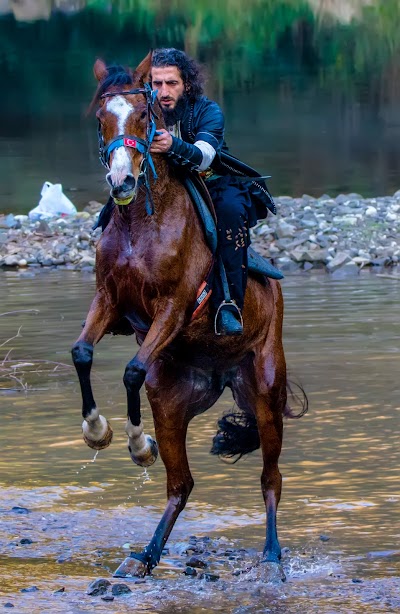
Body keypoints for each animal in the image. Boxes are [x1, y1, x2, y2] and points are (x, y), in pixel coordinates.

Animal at [72, 54, 304, 584]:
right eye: (101, 118)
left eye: (145, 115)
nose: (122, 183)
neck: (141, 222)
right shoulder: (107, 300)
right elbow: (82, 352)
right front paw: (99, 431)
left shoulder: (174, 307)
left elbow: (133, 368)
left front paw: (137, 443)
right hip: (174, 401)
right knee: (181, 485)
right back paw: (144, 556)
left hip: (265, 391)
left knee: (271, 478)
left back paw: (272, 558)